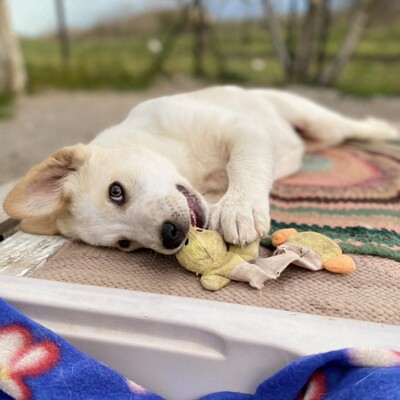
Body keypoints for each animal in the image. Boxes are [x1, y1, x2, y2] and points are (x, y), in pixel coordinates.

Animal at [3, 87, 396, 255]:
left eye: (115, 191)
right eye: (125, 244)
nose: (172, 235)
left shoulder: (244, 130)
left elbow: (242, 164)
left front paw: (240, 207)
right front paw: (229, 205)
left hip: (317, 121)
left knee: (353, 128)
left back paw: (386, 130)